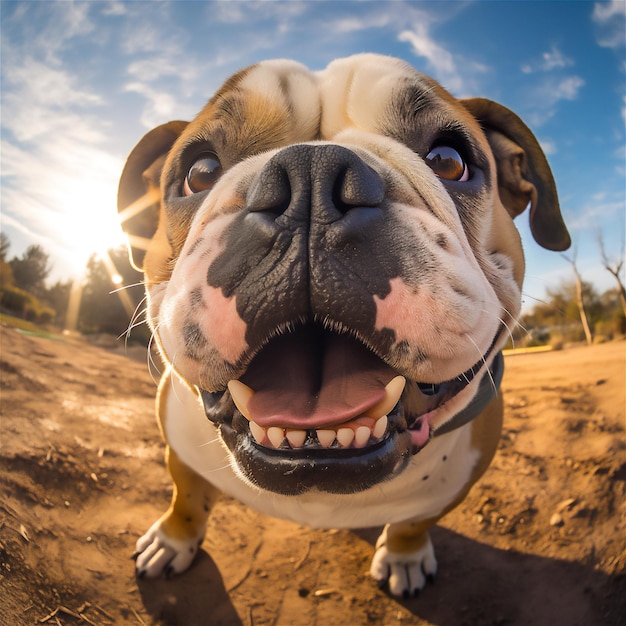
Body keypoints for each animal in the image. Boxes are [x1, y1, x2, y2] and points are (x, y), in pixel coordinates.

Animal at [114, 53, 568, 596]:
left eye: (450, 161)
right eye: (199, 172)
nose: (310, 176)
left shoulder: (456, 484)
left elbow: (414, 522)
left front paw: (405, 557)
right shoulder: (178, 451)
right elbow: (186, 498)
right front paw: (173, 541)